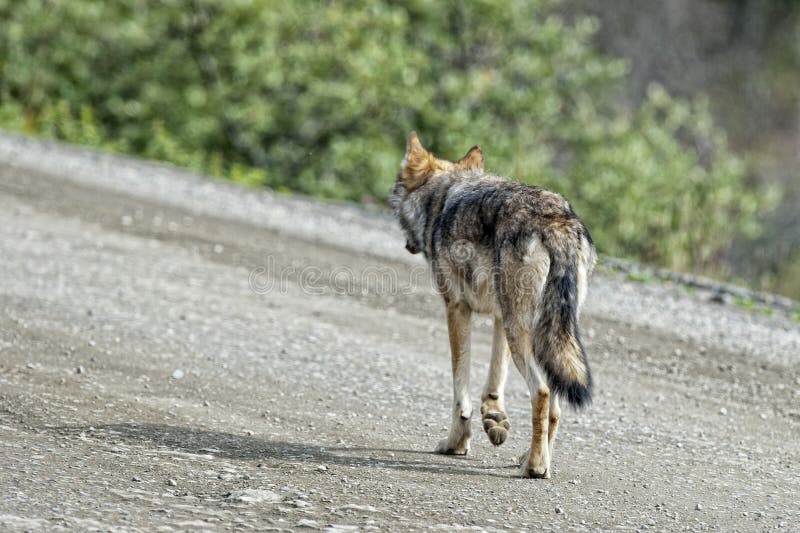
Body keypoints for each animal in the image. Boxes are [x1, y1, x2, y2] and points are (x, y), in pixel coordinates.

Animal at [390, 132, 596, 478]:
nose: (406, 244)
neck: (441, 199)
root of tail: (557, 219)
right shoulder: (500, 316)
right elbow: (494, 378)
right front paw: (494, 418)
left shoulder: (456, 309)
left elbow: (460, 390)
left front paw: (456, 443)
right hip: (541, 331)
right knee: (555, 405)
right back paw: (534, 459)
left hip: (524, 332)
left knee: (541, 393)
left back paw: (534, 466)